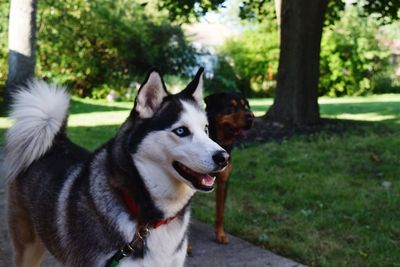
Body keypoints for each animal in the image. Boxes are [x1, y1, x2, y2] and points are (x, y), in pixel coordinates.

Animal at [205, 92, 255, 245]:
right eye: (230, 106)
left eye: (245, 106)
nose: (251, 116)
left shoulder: (224, 181)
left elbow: (220, 212)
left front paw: (220, 235)